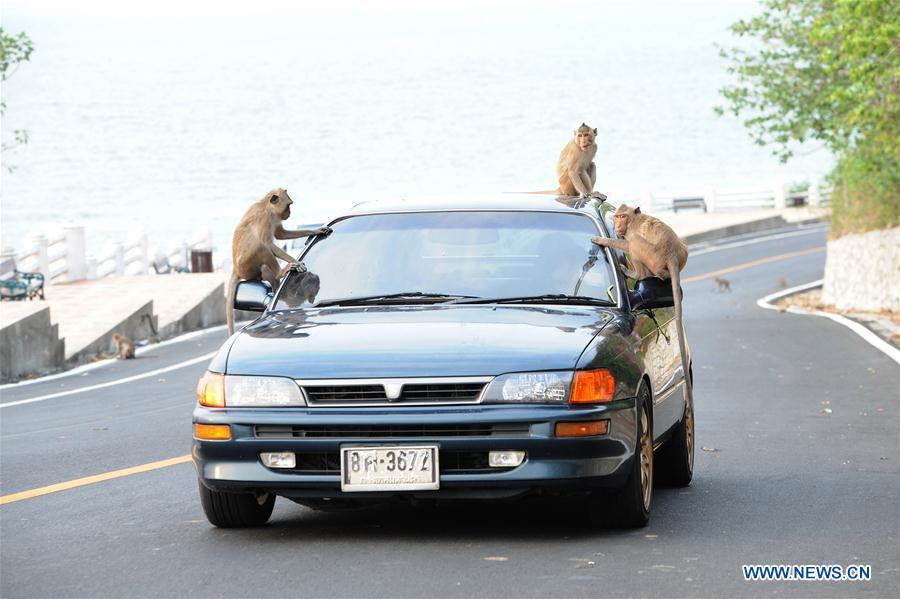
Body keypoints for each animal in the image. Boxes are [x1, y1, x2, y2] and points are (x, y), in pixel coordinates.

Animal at [227, 189, 332, 336]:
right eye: (288, 205)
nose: (289, 213)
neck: (267, 207)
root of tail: (235, 268)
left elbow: (281, 234)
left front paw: (317, 230)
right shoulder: (265, 219)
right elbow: (268, 244)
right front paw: (295, 262)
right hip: (246, 267)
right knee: (260, 247)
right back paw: (280, 273)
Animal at [592, 204, 696, 406]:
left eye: (622, 216)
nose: (617, 225)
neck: (633, 220)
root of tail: (672, 255)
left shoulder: (631, 232)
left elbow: (626, 244)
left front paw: (602, 240)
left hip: (652, 257)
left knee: (634, 244)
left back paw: (637, 275)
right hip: (681, 254)